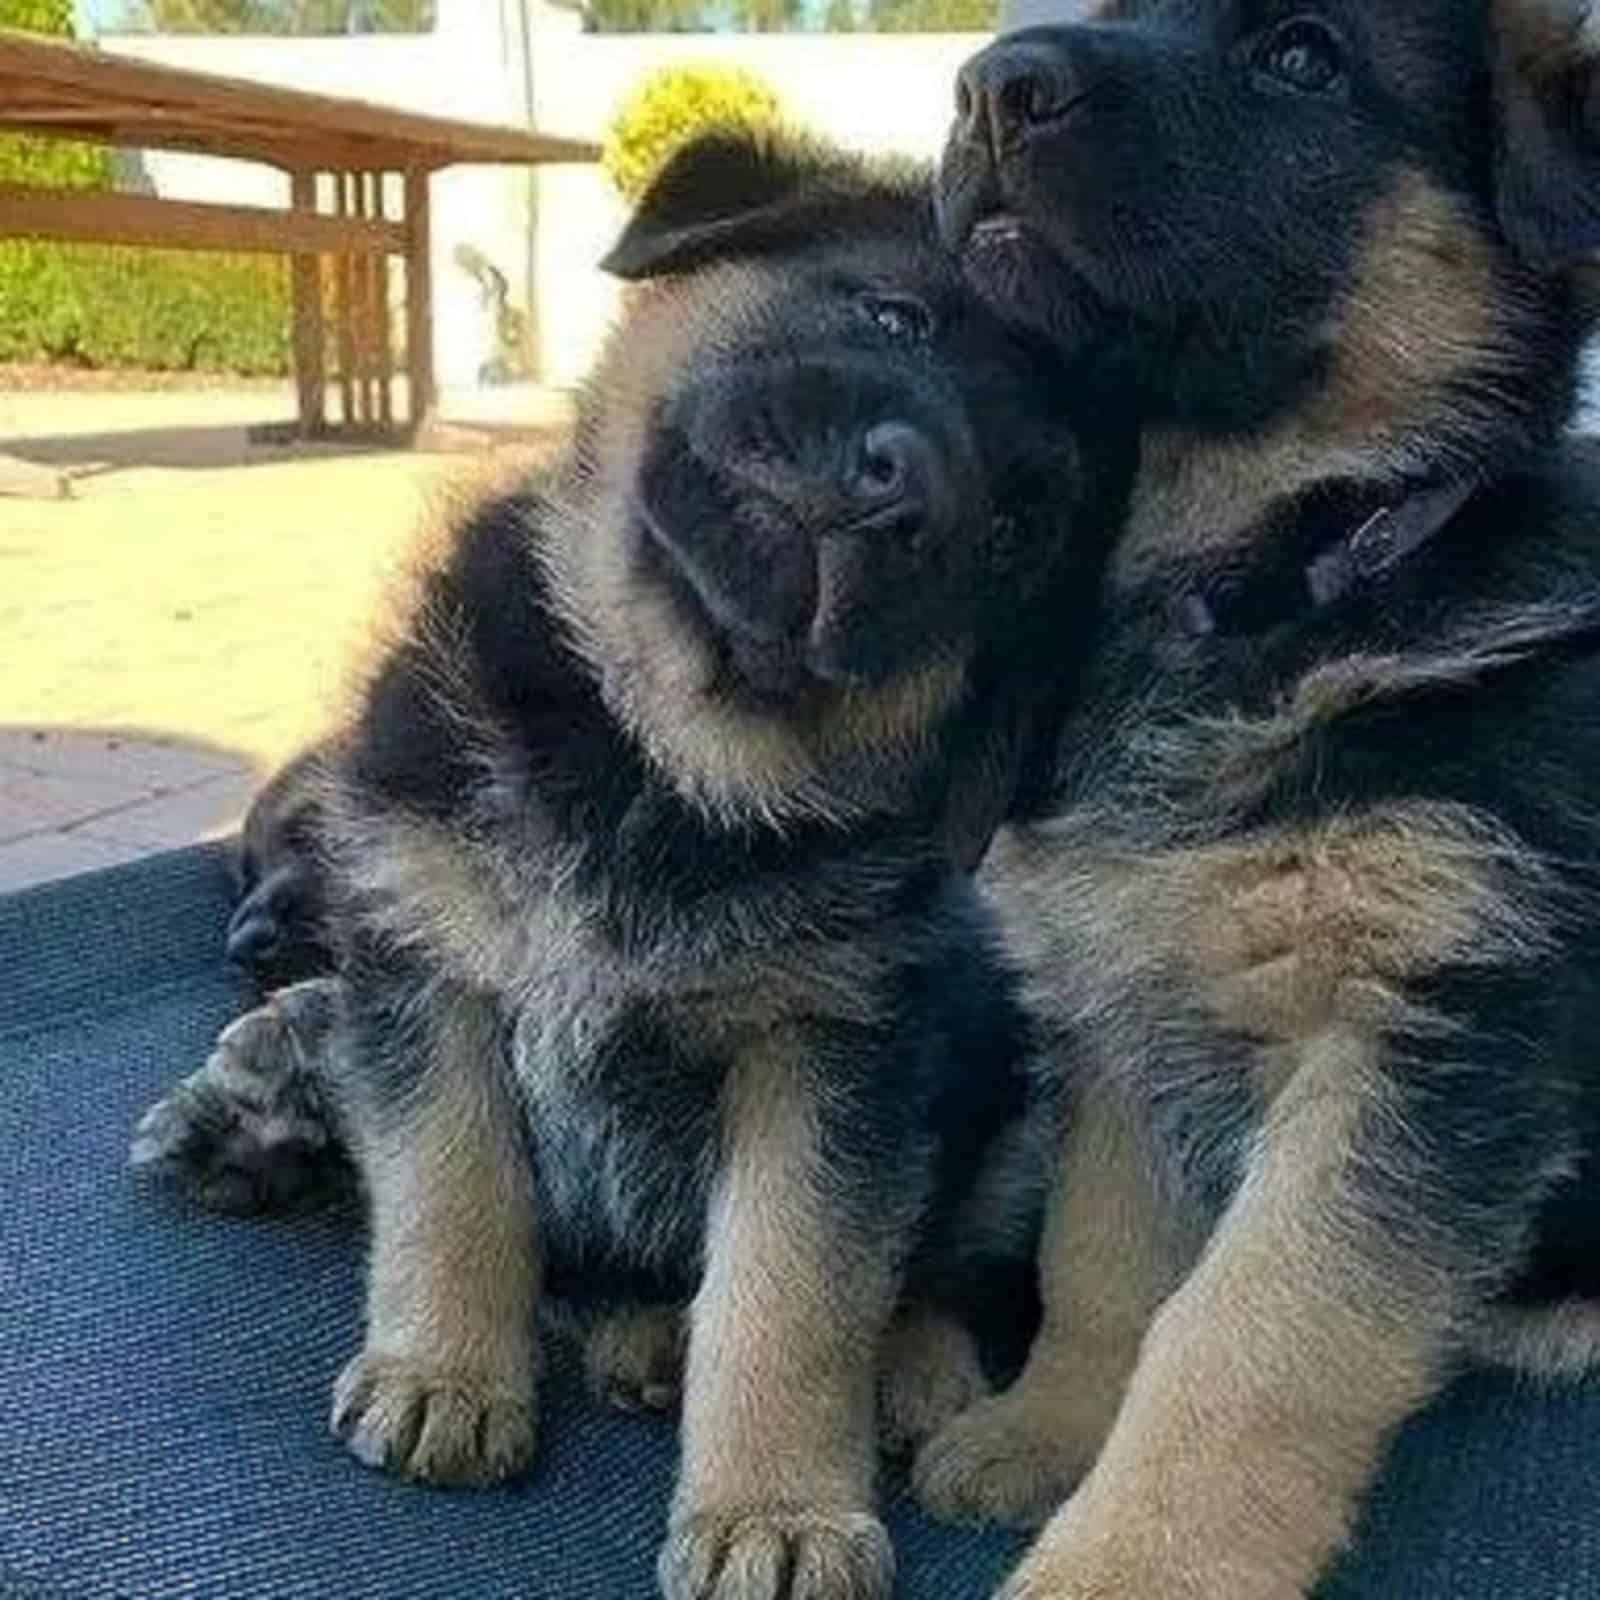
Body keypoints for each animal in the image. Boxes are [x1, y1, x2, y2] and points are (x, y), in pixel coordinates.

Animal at [140, 137, 1139, 1600]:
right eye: (894, 316)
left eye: (1014, 531)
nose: (903, 490)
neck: (657, 763)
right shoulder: (425, 970)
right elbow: (451, 1182)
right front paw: (444, 1371)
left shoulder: (829, 1056)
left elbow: (793, 1291)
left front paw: (777, 1507)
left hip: (1010, 1096)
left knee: (935, 1270)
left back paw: (906, 1372)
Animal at [928, 3, 1600, 1600]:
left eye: (1301, 59)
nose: (988, 85)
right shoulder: (1126, 1011)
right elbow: (1103, 1263)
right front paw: (1050, 1427)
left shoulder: (1429, 1026)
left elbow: (1247, 1337)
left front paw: (1127, 1565)